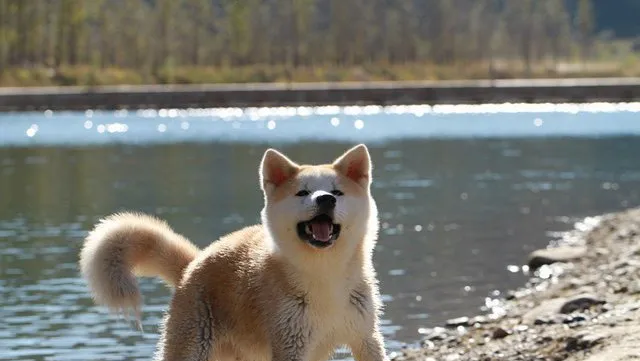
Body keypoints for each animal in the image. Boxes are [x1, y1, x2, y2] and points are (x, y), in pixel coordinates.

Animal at [77, 143, 388, 360]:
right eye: (302, 193)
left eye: (336, 193)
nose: (324, 200)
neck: (325, 273)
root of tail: (192, 265)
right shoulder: (291, 343)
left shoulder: (366, 337)